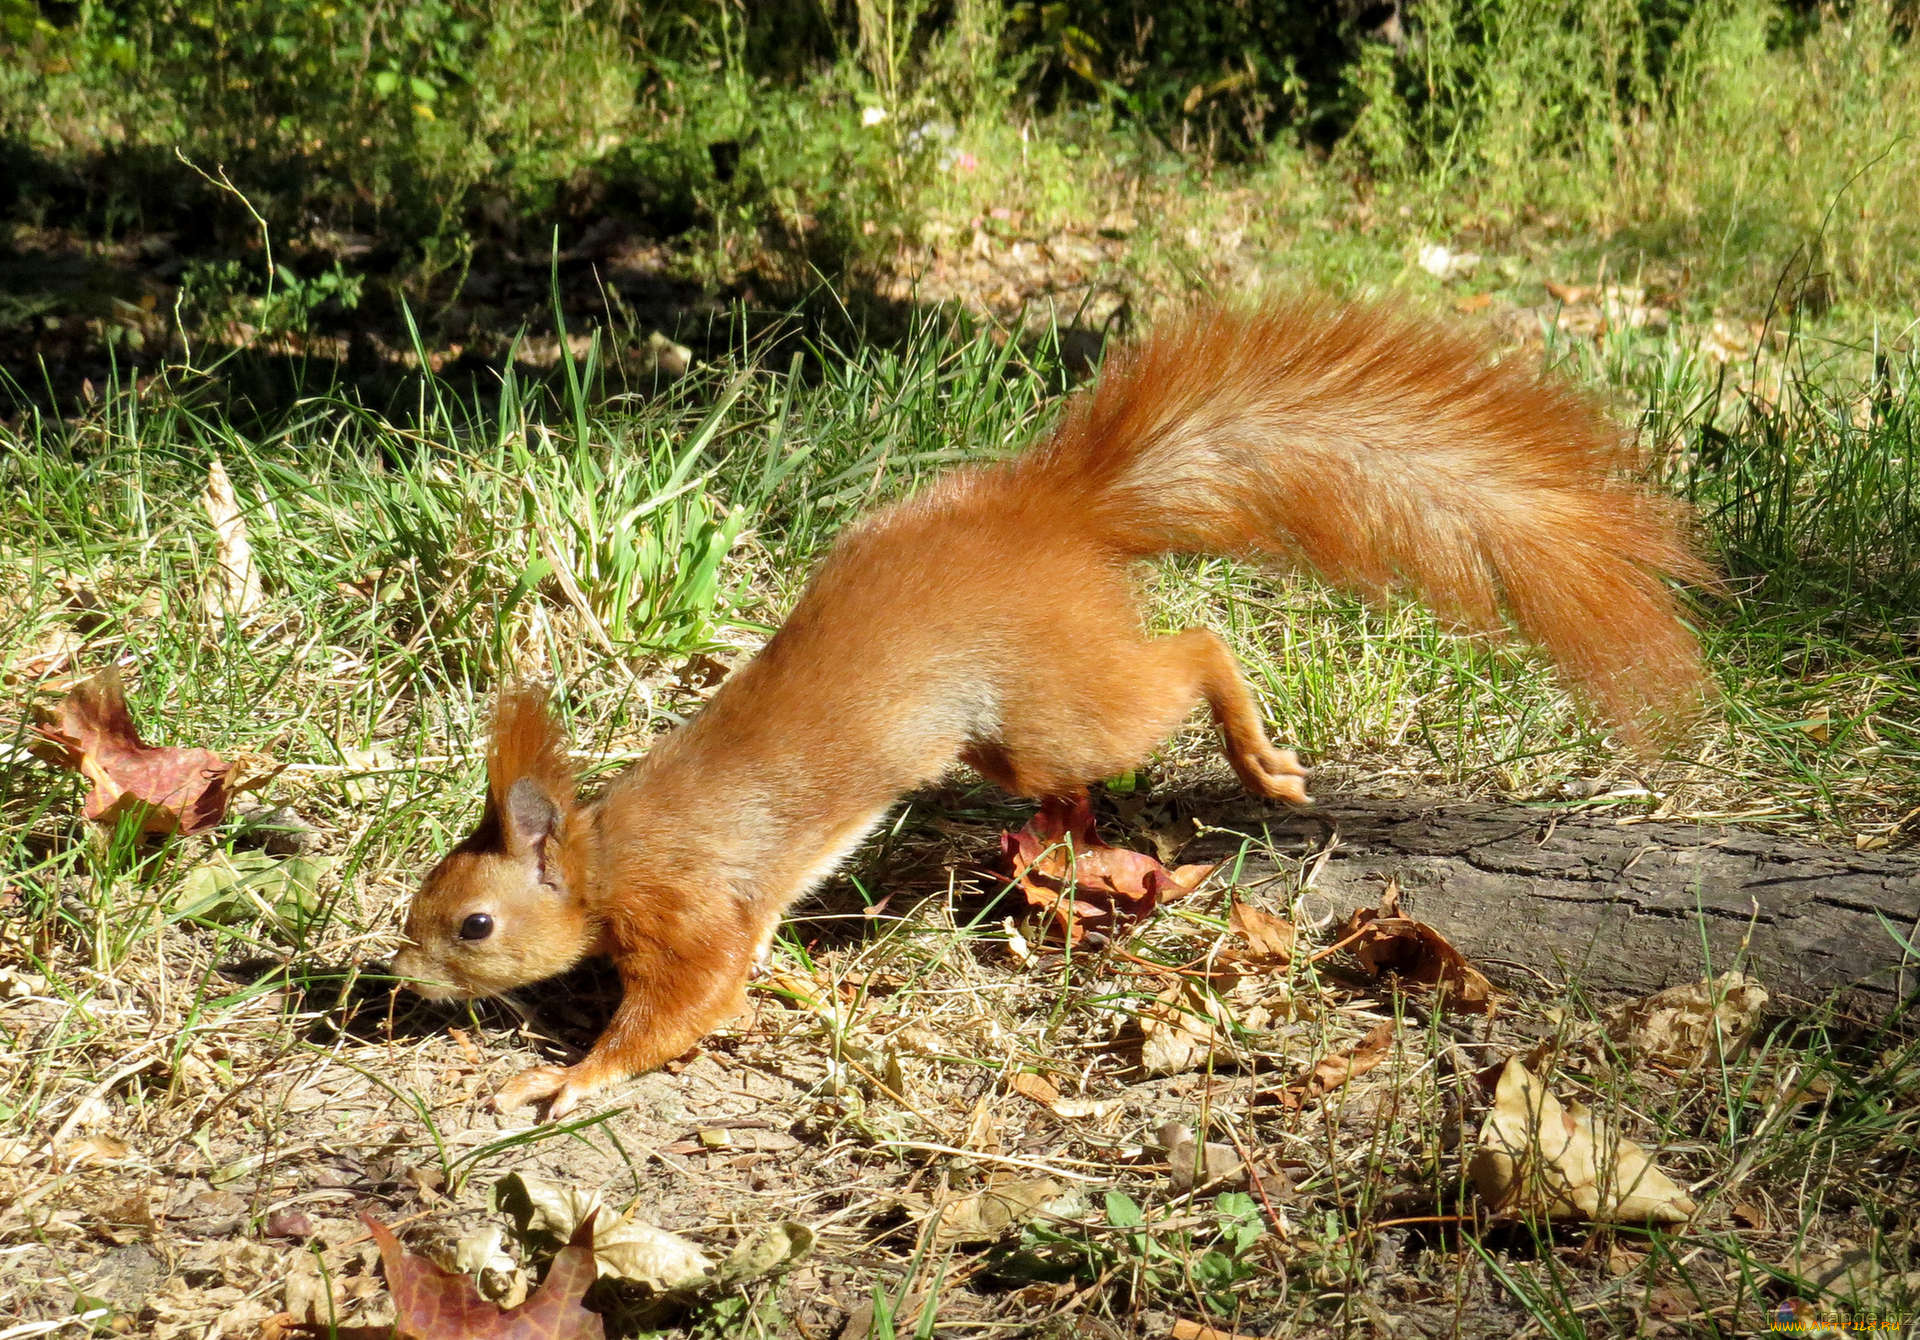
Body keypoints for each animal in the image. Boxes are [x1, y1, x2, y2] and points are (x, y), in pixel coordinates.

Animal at [385, 297, 1712, 1113]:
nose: (402, 980)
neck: (608, 850)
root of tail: (1056, 510)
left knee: (1195, 650)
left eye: (475, 926)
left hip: (1047, 708)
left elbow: (681, 1008)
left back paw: (1257, 755)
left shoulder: (692, 907)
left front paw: (560, 1080)